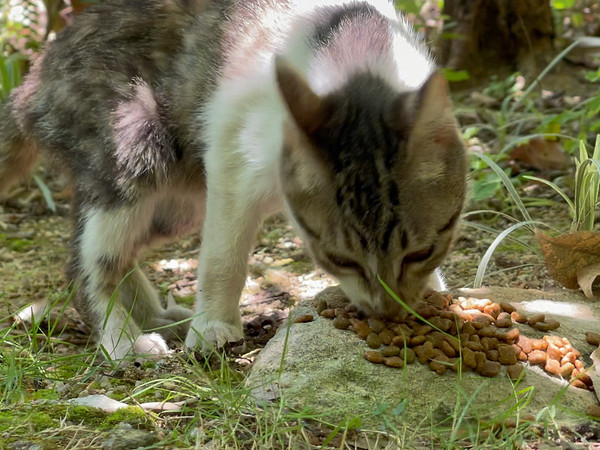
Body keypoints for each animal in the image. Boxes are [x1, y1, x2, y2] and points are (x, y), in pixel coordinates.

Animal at [0, 0, 468, 358]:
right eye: (341, 260)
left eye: (421, 252)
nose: (387, 312)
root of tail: (33, 81)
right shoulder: (230, 154)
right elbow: (223, 257)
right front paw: (213, 325)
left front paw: (436, 295)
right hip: (132, 142)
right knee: (87, 259)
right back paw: (123, 337)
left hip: (179, 204)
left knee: (121, 251)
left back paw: (156, 317)